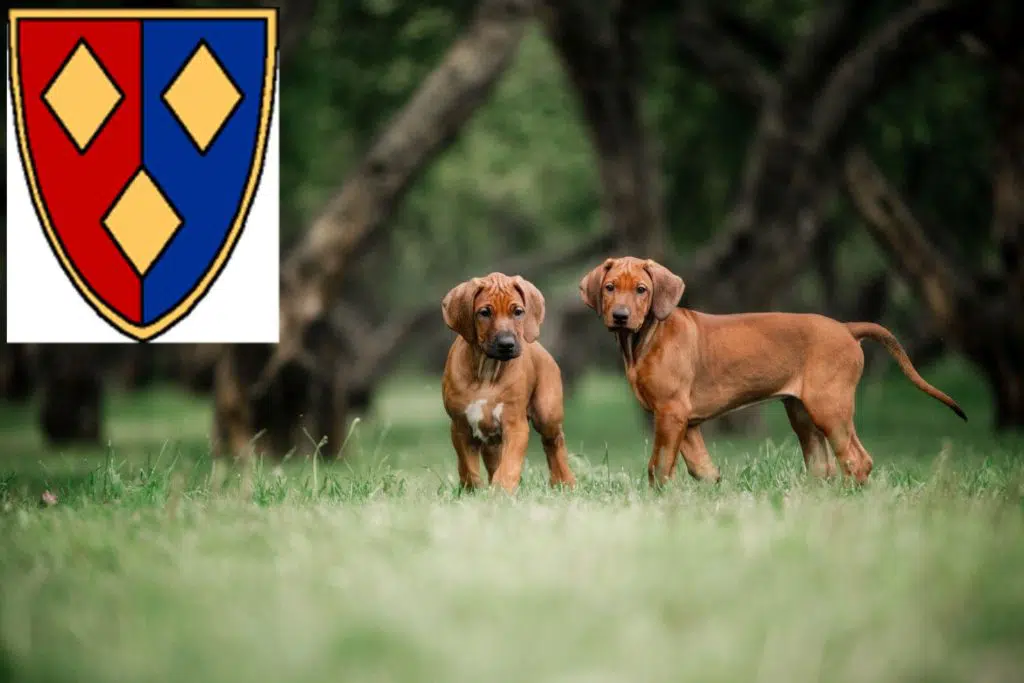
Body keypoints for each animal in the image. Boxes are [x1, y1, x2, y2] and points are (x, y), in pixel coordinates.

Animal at [440, 270, 577, 491]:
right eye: (484, 312)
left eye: (518, 312)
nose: (507, 344)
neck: (487, 371)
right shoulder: (460, 427)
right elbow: (468, 467)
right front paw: (473, 491)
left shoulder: (515, 425)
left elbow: (509, 464)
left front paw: (501, 491)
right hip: (491, 440)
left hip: (547, 412)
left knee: (554, 442)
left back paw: (564, 481)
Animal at [581, 254, 962, 485]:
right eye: (609, 288)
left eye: (642, 290)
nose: (620, 316)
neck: (645, 337)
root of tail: (846, 328)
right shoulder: (683, 420)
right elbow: (701, 467)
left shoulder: (671, 411)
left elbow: (658, 466)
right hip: (803, 412)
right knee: (821, 465)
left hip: (829, 407)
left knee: (856, 459)